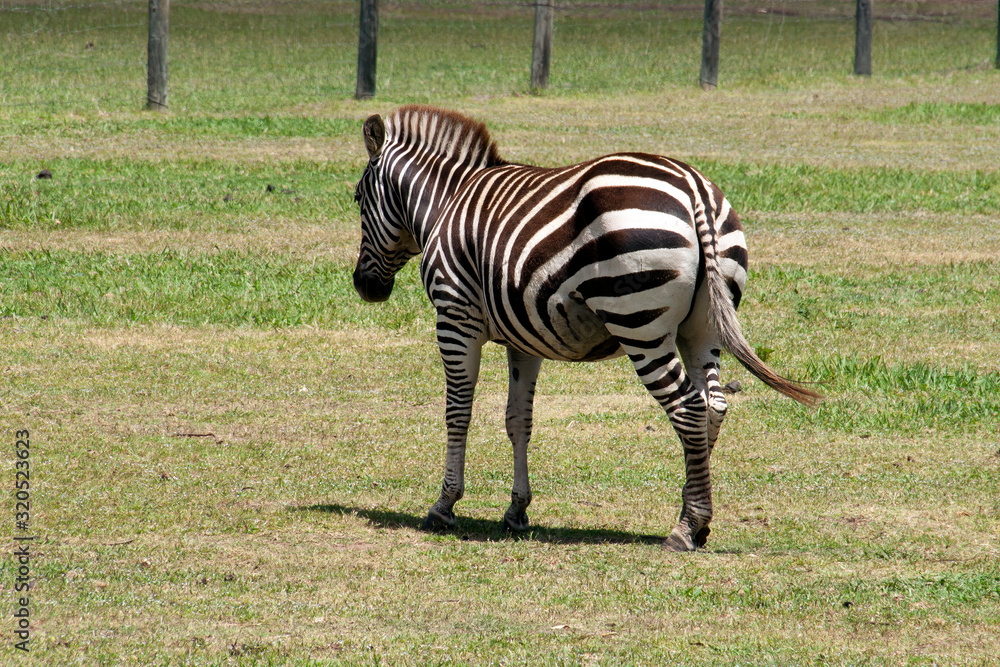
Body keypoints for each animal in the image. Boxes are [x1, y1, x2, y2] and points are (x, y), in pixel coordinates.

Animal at [352, 105, 819, 551]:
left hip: (641, 324)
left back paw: (686, 527)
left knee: (688, 407)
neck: (446, 202)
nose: (363, 287)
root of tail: (694, 189)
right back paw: (697, 518)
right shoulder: (524, 338)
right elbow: (518, 419)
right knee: (714, 406)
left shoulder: (455, 318)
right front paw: (517, 511)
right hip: (702, 328)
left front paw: (444, 505)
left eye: (356, 199)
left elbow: (457, 412)